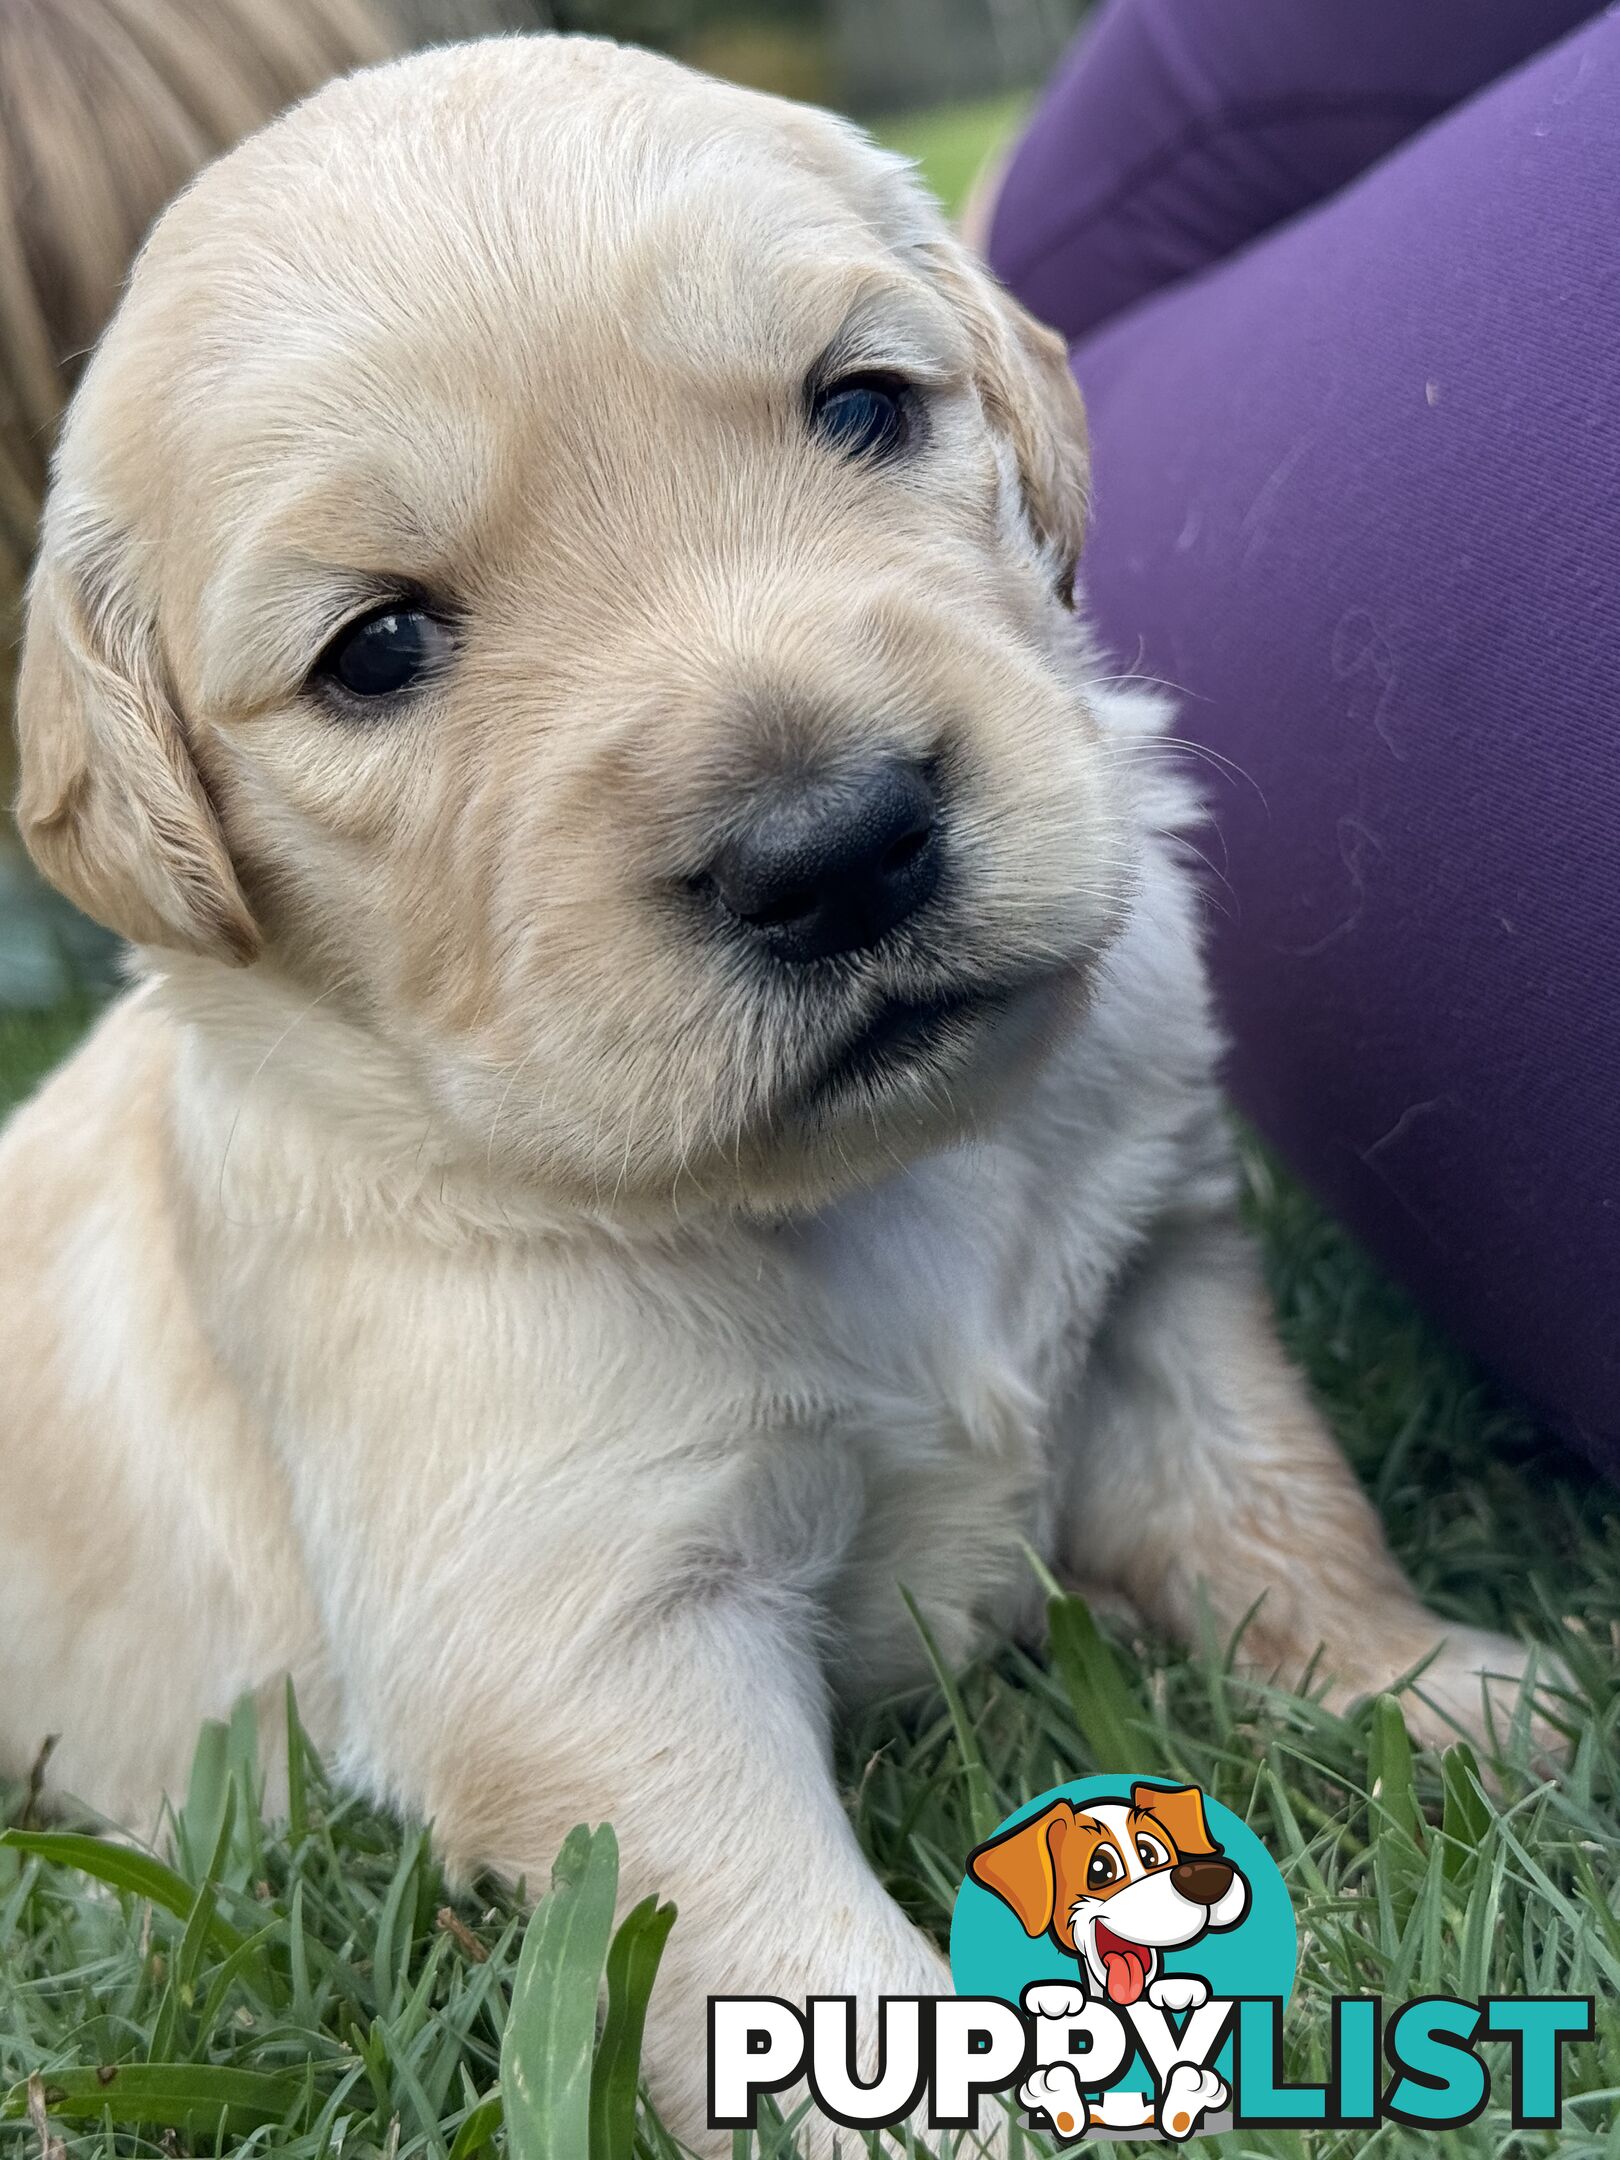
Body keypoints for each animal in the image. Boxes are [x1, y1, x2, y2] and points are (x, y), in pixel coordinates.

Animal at [3, 38, 1563, 2160]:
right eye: (377, 647)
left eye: (862, 406)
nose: (835, 851)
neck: (854, 1183)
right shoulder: (582, 1639)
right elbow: (787, 1949)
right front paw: (972, 2102)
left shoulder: (1161, 1284)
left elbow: (1277, 1508)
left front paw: (1445, 1696)